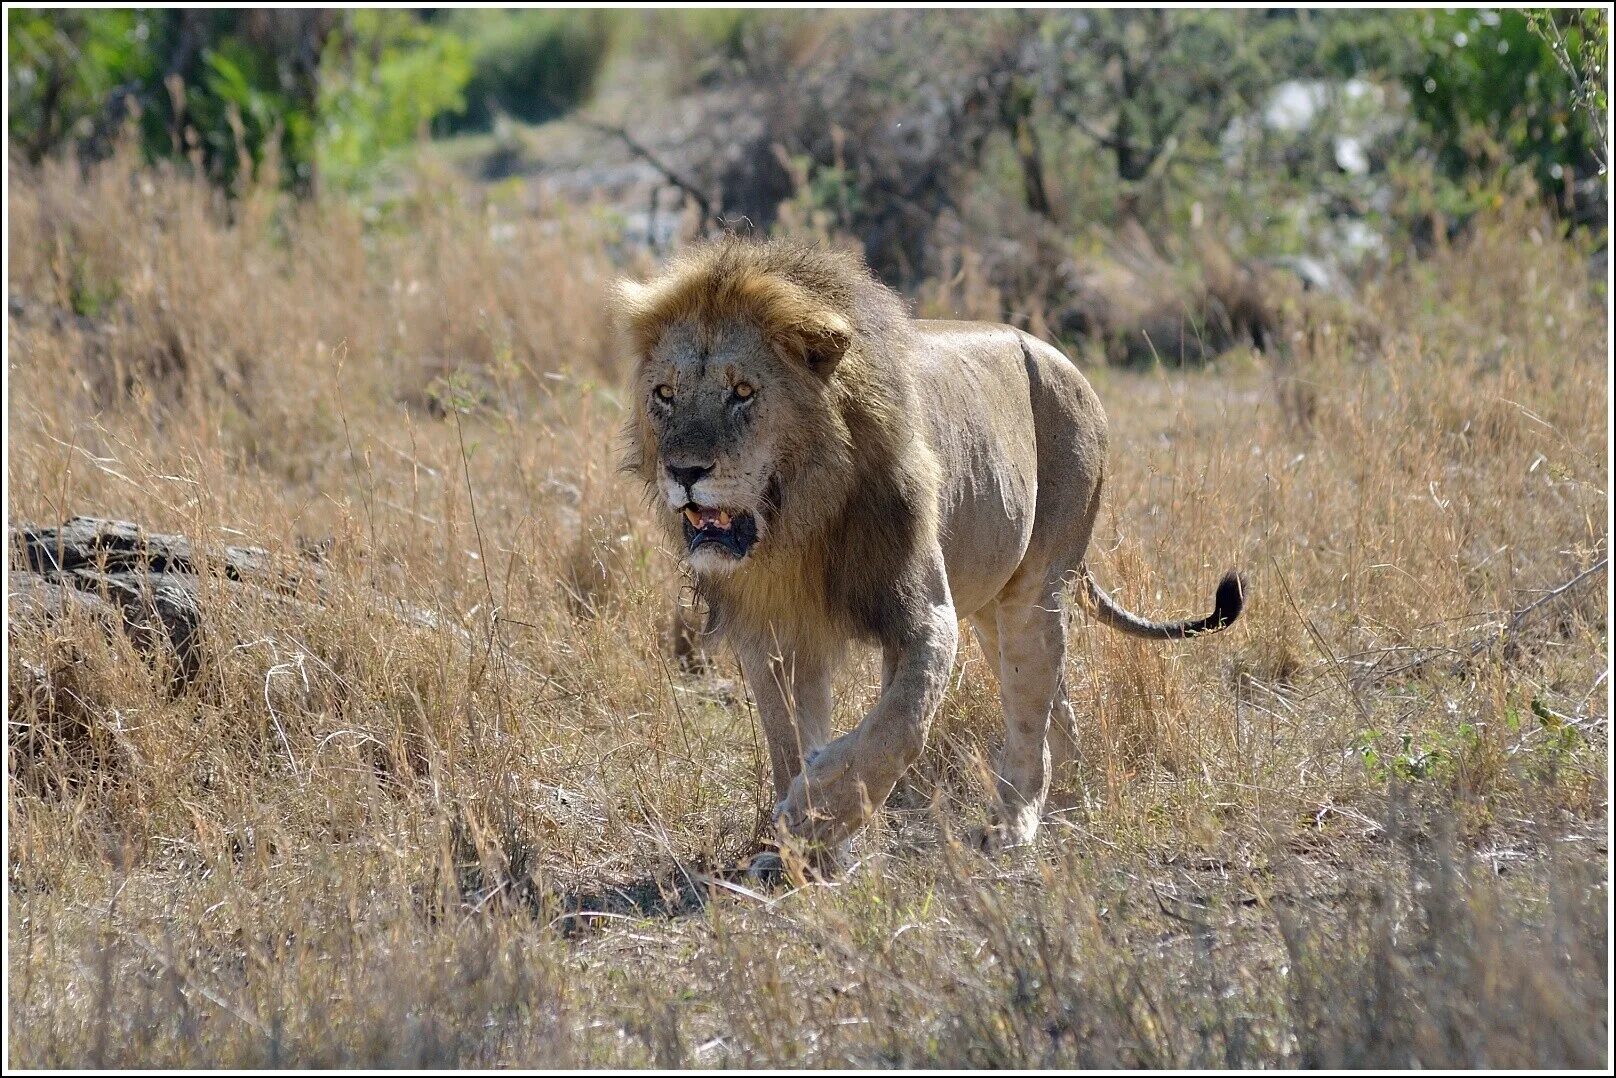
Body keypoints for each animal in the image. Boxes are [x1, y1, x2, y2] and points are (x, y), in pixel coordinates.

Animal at [610, 235, 1241, 859]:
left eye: (742, 391)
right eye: (664, 394)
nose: (683, 471)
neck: (800, 525)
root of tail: (1065, 361)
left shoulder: (924, 615)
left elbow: (899, 724)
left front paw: (819, 814)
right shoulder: (776, 635)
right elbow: (789, 739)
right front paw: (804, 851)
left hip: (1036, 589)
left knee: (1030, 709)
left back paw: (1013, 824)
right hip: (991, 606)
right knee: (1055, 704)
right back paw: (1069, 804)